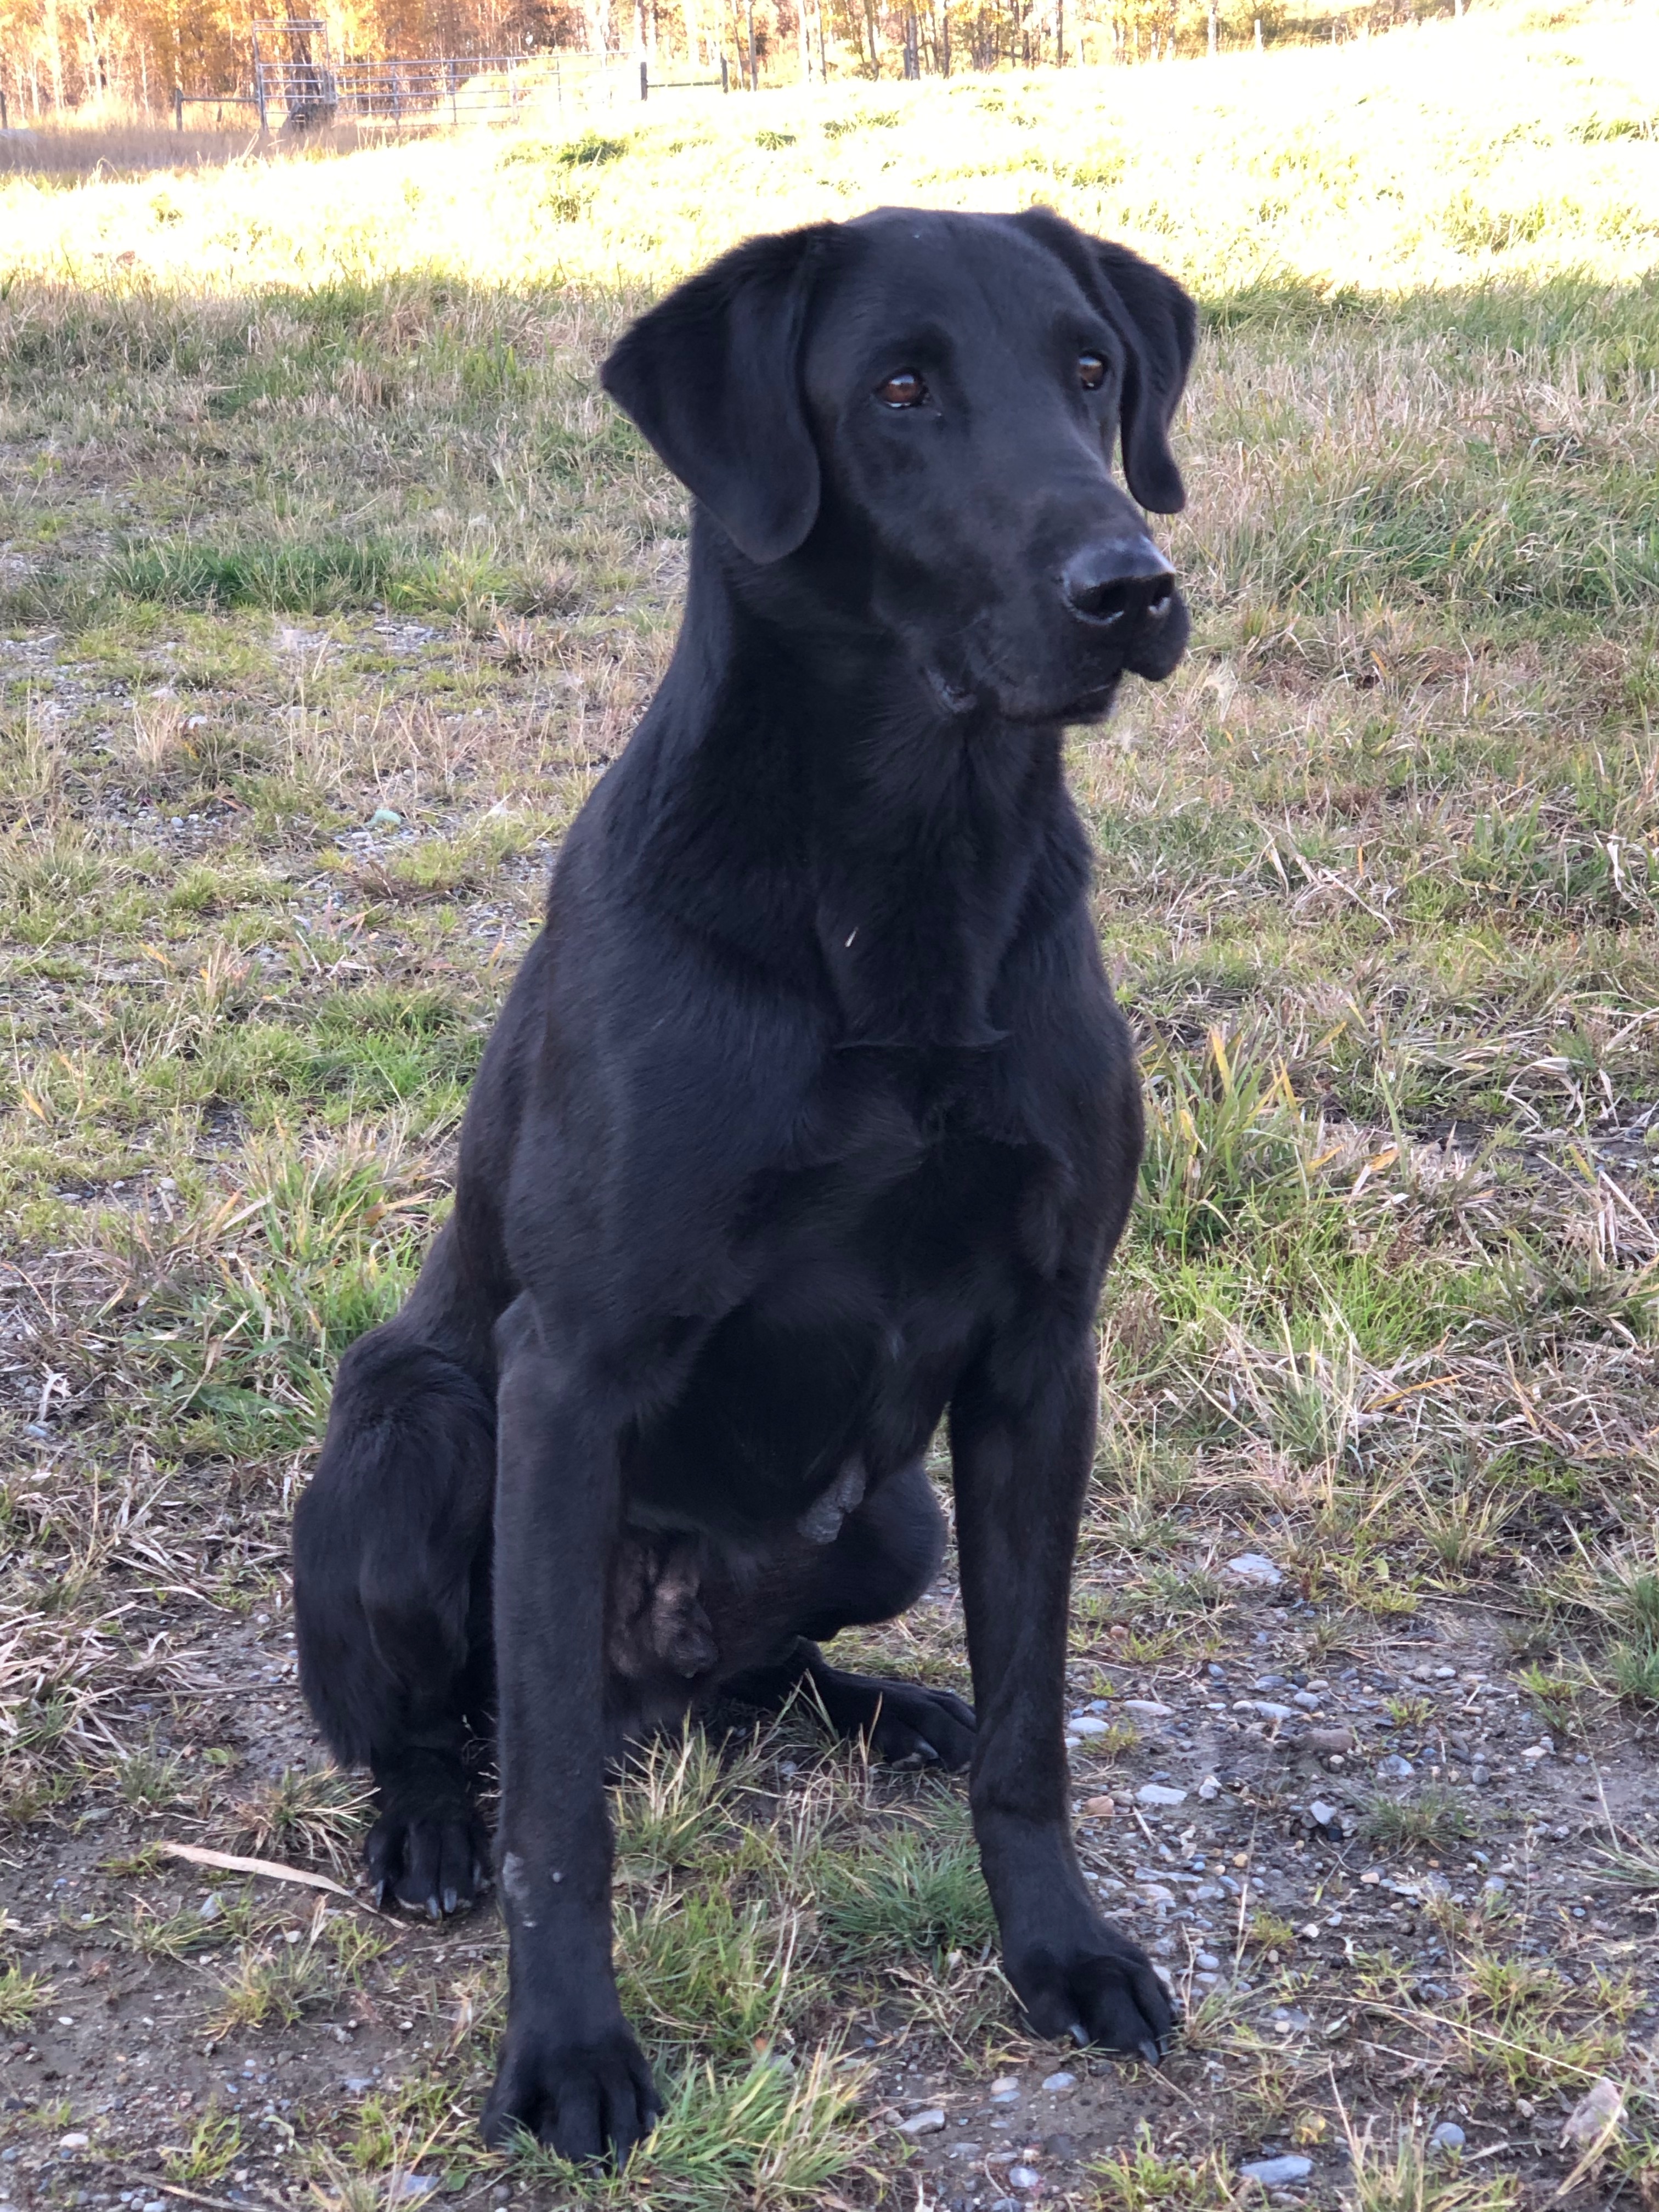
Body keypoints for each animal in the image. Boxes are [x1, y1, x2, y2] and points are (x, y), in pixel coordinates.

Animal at [296, 208, 1194, 2159]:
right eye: (900, 388)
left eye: (1091, 368)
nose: (1133, 584)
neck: (905, 872)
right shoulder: (567, 1374)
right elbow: (559, 1807)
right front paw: (568, 2051)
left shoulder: (1043, 1355)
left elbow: (1034, 1725)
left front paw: (1060, 1952)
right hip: (413, 1428)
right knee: (448, 1722)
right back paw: (426, 1826)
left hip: (894, 1515)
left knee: (765, 1682)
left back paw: (884, 1711)